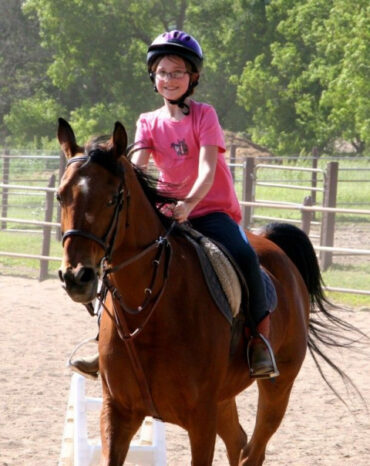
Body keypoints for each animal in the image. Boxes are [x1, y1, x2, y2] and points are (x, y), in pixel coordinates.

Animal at [57, 118, 352, 464]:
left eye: (112, 198)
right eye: (61, 196)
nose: (76, 277)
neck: (149, 310)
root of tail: (274, 246)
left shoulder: (201, 419)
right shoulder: (117, 413)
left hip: (278, 389)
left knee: (254, 450)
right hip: (224, 398)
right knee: (239, 441)